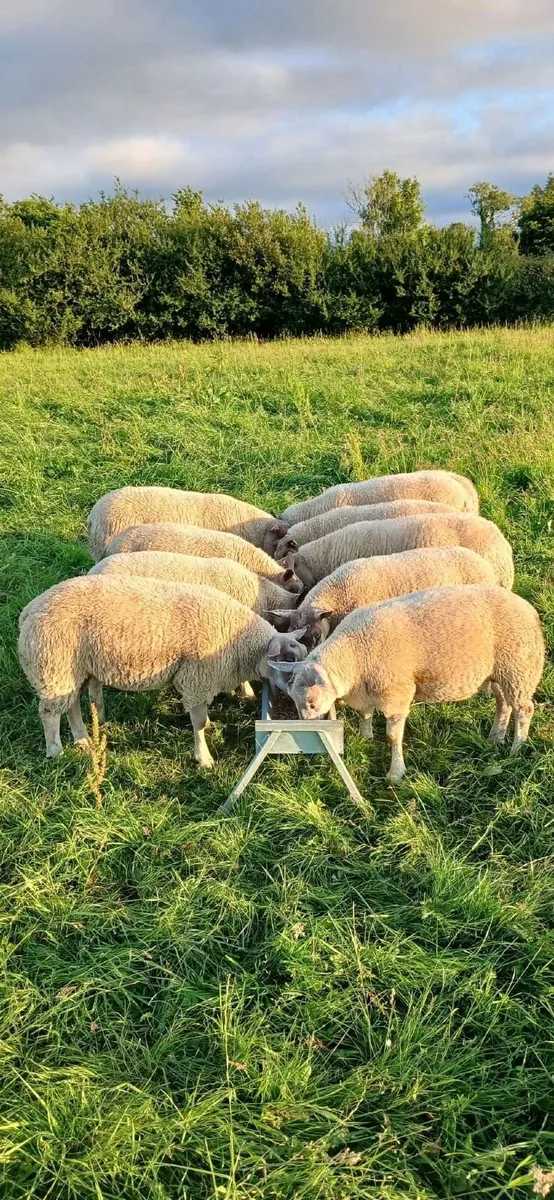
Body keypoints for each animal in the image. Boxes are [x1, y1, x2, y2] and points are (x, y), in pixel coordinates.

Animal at [18, 577, 308, 768]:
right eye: (287, 659)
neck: (239, 641)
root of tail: (28, 611)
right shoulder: (196, 679)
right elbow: (199, 723)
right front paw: (204, 758)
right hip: (53, 665)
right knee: (48, 713)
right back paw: (55, 751)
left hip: (72, 669)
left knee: (71, 705)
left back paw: (82, 739)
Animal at [274, 585, 544, 783]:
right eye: (293, 700)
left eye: (311, 702)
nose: (306, 732)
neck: (354, 653)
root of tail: (529, 609)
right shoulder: (366, 691)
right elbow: (365, 715)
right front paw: (364, 737)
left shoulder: (396, 695)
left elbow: (393, 737)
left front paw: (396, 773)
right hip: (498, 673)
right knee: (504, 704)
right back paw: (495, 738)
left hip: (518, 668)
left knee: (524, 709)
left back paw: (516, 748)